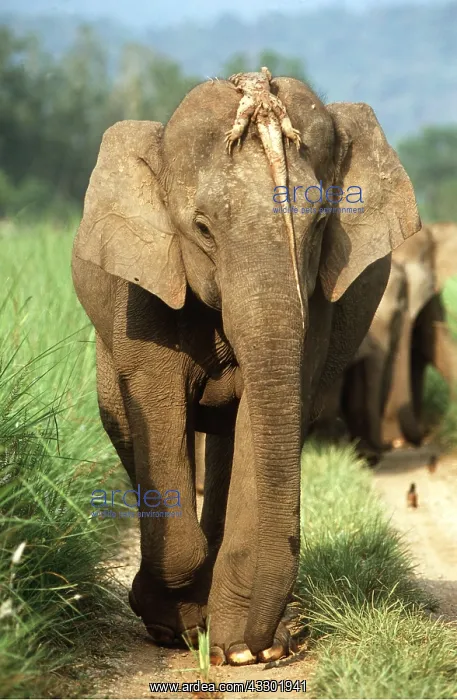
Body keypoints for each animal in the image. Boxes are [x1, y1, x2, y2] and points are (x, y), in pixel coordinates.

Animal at [71, 74, 420, 666]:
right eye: (203, 229)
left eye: (321, 222)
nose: (273, 645)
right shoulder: (145, 294)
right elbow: (158, 406)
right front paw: (178, 625)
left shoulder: (314, 310)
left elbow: (270, 415)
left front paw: (237, 651)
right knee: (122, 419)